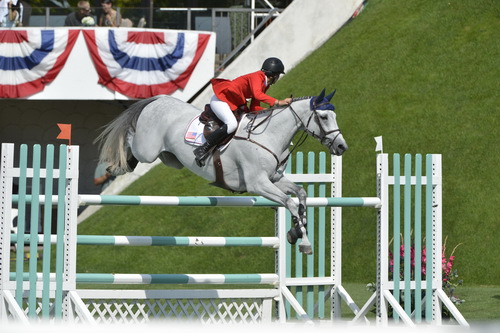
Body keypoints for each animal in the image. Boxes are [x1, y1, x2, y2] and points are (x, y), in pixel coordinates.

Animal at [96, 89, 348, 253]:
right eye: (324, 116)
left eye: (335, 115)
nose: (341, 147)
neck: (269, 135)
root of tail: (159, 100)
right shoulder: (258, 184)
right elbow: (290, 203)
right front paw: (304, 242)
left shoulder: (274, 179)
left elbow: (301, 195)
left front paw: (296, 231)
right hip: (146, 149)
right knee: (130, 139)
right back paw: (111, 167)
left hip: (169, 158)